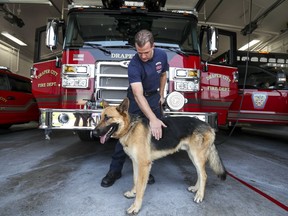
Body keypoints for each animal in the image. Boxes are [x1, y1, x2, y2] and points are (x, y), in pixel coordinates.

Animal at [95, 98, 226, 214]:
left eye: (107, 118)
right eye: (100, 117)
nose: (94, 132)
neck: (130, 128)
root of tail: (208, 126)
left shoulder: (144, 165)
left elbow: (141, 187)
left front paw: (136, 207)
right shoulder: (136, 163)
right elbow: (135, 180)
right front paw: (133, 193)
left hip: (197, 156)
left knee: (204, 175)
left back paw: (200, 195)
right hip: (193, 156)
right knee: (200, 173)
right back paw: (196, 188)